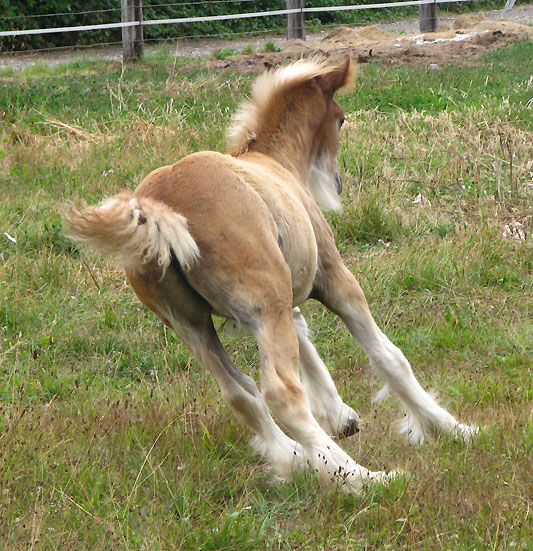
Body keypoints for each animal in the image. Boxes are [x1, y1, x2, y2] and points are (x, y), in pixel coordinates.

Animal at [64, 58, 476, 494]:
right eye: (341, 119)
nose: (336, 184)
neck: (275, 161)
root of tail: (156, 207)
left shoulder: (278, 297)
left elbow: (304, 337)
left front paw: (340, 416)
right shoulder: (332, 280)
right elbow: (389, 356)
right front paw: (450, 429)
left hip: (192, 325)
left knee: (240, 392)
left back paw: (297, 459)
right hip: (260, 307)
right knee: (281, 395)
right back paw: (362, 478)